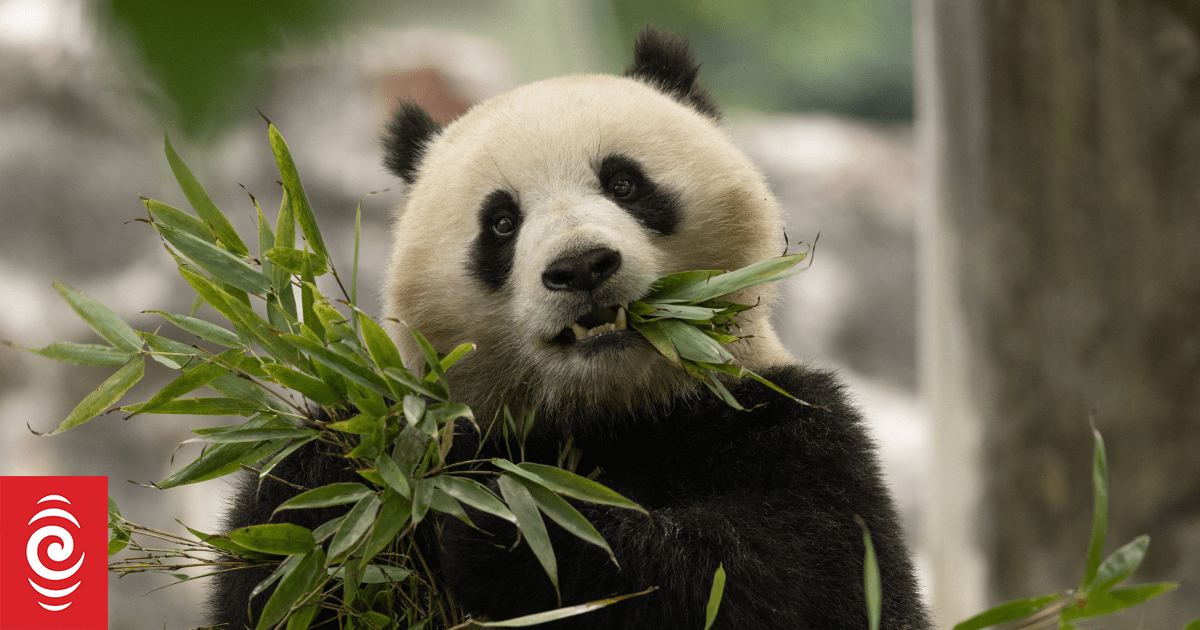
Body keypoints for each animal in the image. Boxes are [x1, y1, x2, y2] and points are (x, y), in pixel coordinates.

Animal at [209, 27, 931, 630]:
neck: (607, 412)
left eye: (625, 183)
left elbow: (791, 579)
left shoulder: (785, 423)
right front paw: (347, 467)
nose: (581, 266)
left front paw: (505, 523)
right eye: (501, 223)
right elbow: (279, 565)